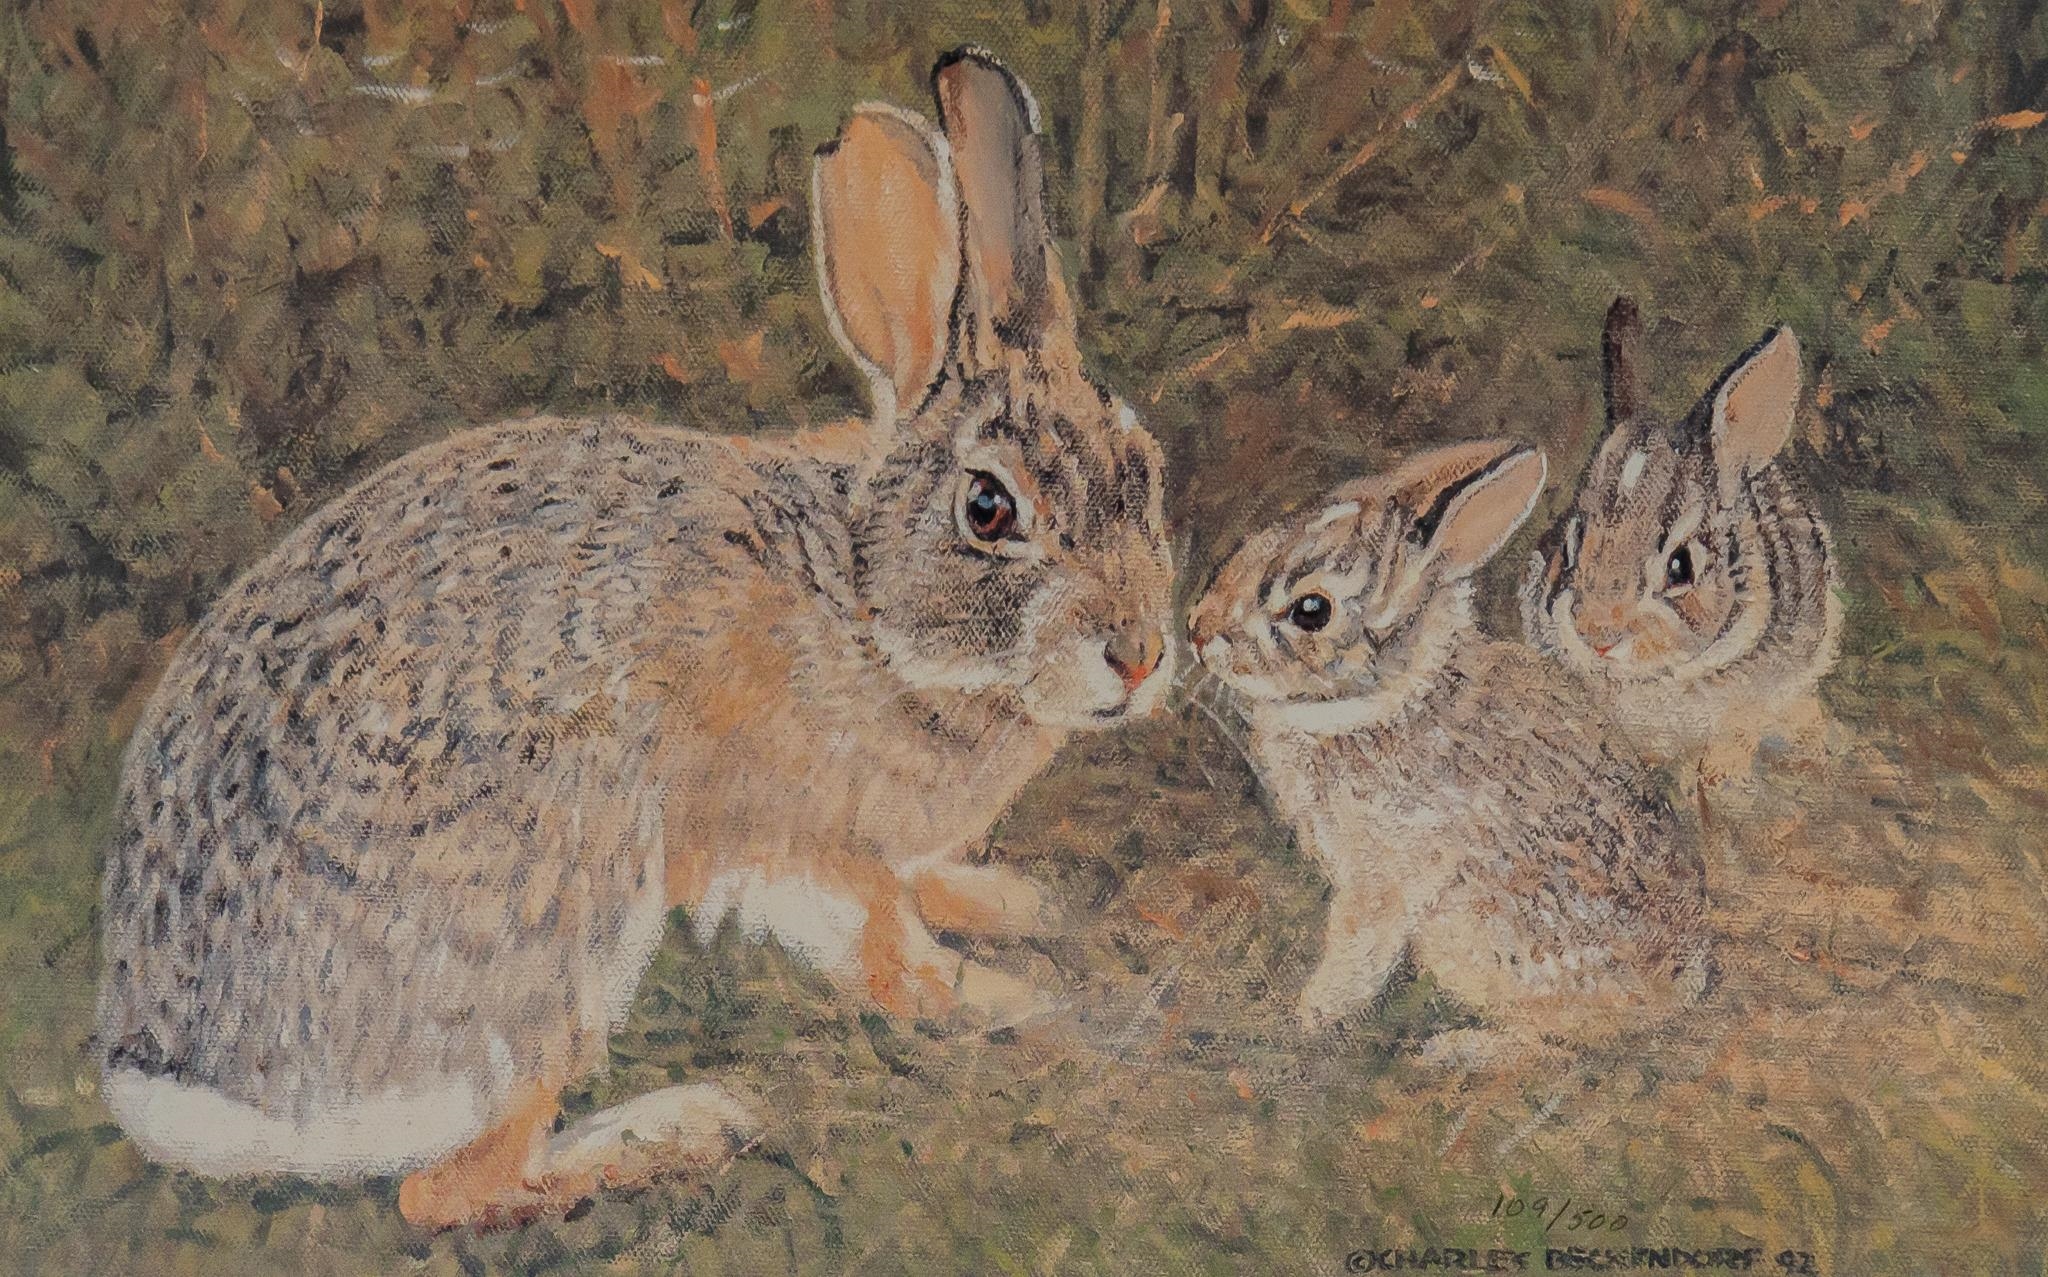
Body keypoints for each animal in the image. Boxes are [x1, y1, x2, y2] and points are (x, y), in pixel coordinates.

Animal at [95, 48, 1175, 1230]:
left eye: (1146, 470)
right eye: (988, 510)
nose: (1138, 653)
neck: (867, 607)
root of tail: (194, 1078)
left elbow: (931, 882)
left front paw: (1022, 903)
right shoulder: (800, 840)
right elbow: (891, 956)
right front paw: (1015, 1000)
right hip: (566, 903)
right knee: (445, 1186)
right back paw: (675, 1129)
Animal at [1185, 440, 1712, 1049]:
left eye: (1310, 611)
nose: (1197, 630)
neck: (1386, 701)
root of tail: (1678, 982)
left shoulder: (1382, 872)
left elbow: (1360, 940)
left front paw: (1315, 1010)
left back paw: (1456, 1048)